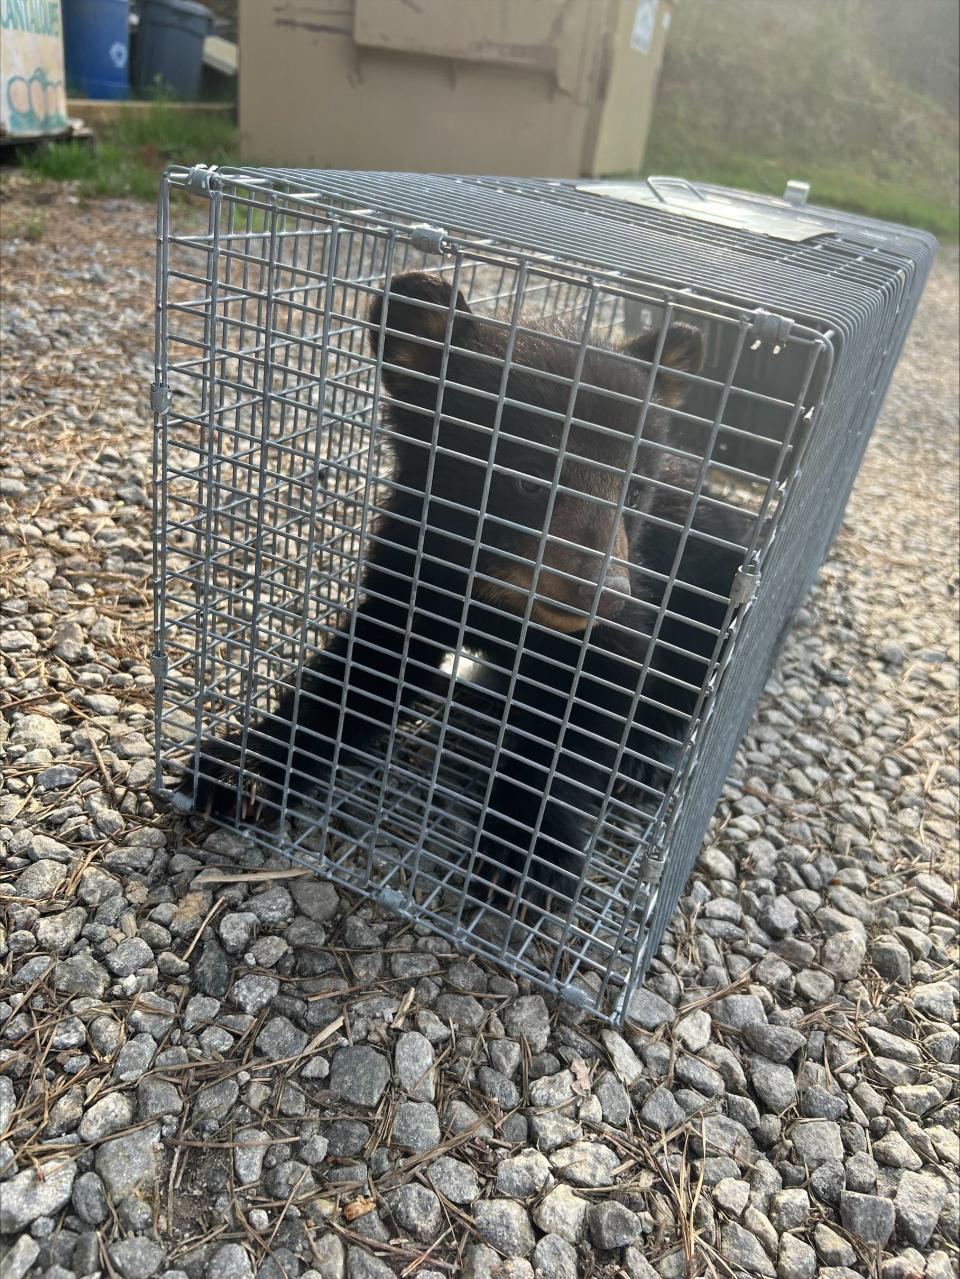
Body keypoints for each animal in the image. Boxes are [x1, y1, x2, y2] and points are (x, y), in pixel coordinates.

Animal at [175, 271, 751, 910]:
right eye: (526, 477)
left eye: (635, 487)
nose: (605, 595)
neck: (502, 598)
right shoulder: (414, 566)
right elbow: (362, 669)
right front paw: (243, 768)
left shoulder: (629, 616)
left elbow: (589, 713)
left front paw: (525, 852)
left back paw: (651, 757)